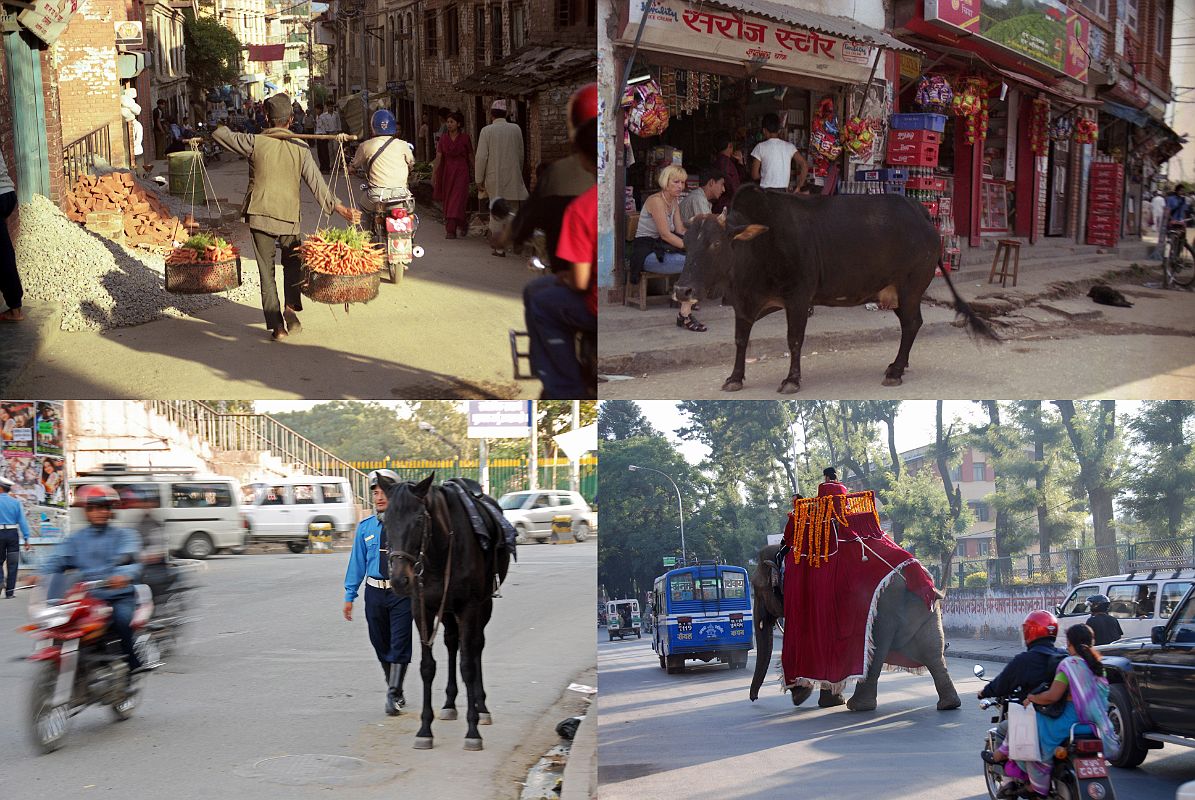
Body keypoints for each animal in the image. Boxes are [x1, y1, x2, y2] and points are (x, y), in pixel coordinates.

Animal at [384, 473, 511, 750]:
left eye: (419, 519)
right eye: (385, 520)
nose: (399, 580)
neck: (438, 554)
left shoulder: (470, 606)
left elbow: (468, 665)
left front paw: (473, 730)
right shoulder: (421, 607)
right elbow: (427, 667)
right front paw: (424, 729)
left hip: (482, 605)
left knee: (474, 647)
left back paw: (481, 707)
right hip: (447, 611)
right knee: (453, 643)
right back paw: (450, 703)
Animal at [673, 184, 999, 389]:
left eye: (715, 243)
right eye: (686, 243)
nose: (682, 290)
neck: (758, 247)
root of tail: (920, 212)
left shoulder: (798, 298)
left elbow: (794, 340)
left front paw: (792, 380)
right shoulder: (744, 303)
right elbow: (740, 341)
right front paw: (735, 378)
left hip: (910, 290)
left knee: (912, 324)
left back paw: (895, 370)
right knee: (913, 324)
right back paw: (898, 366)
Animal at [750, 542, 965, 712]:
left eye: (757, 589)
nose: (754, 699)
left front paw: (802, 694)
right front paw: (826, 700)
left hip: (883, 609)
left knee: (876, 651)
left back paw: (857, 706)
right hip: (926, 609)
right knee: (933, 653)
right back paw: (949, 704)